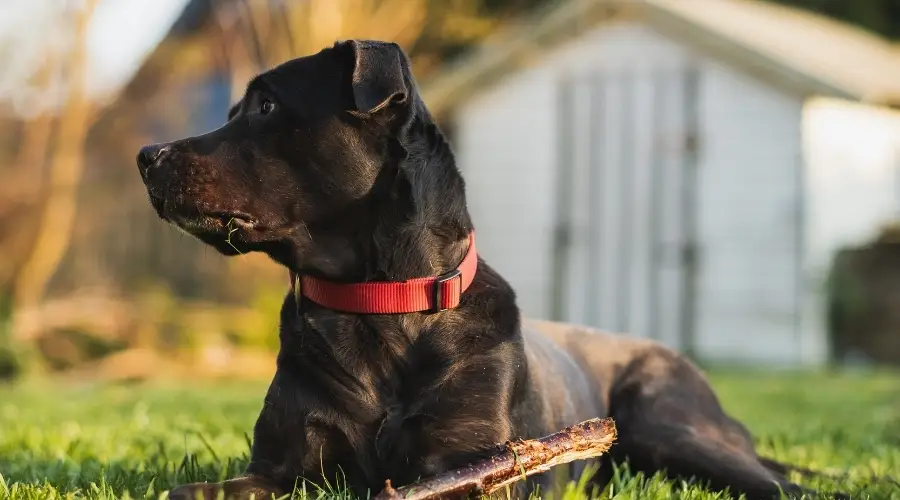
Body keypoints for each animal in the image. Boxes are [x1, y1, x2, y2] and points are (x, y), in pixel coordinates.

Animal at [135, 40, 844, 500]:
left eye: (265, 107)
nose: (147, 155)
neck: (379, 302)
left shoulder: (470, 462)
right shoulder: (281, 468)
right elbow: (190, 491)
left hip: (670, 424)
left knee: (782, 486)